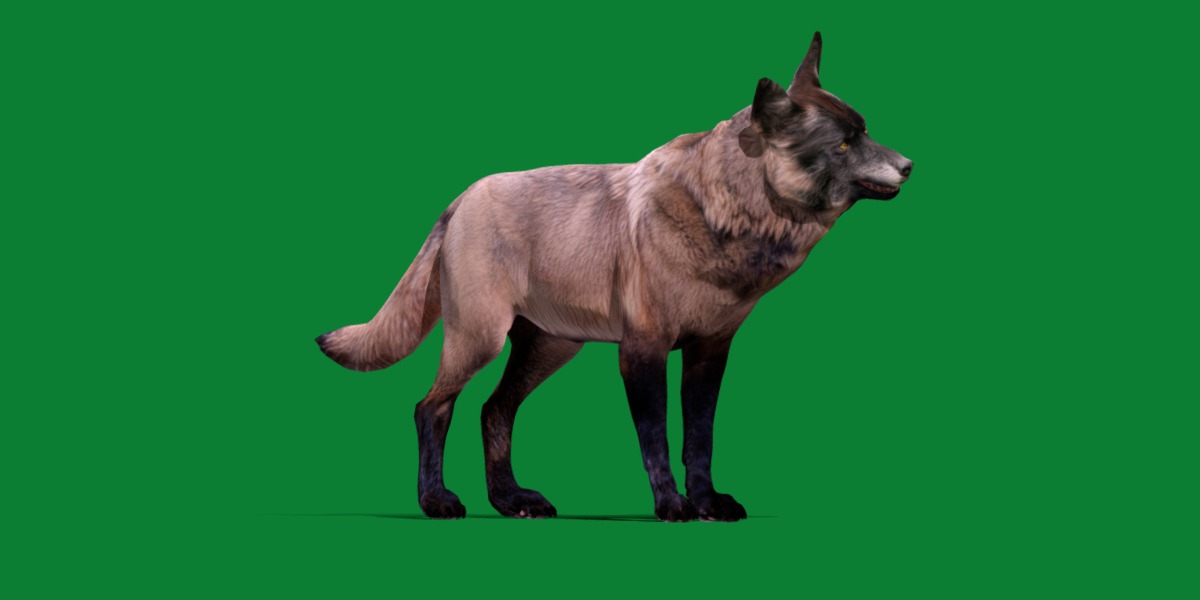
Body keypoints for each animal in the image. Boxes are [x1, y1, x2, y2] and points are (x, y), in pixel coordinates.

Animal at [316, 32, 913, 521]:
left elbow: (700, 439)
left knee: (494, 410)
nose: (909, 165)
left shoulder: (709, 353)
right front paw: (672, 506)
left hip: (551, 349)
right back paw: (437, 501)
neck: (724, 213)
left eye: (865, 132)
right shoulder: (642, 351)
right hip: (480, 340)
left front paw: (707, 503)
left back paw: (510, 501)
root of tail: (461, 198)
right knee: (432, 409)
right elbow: (657, 439)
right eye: (843, 143)